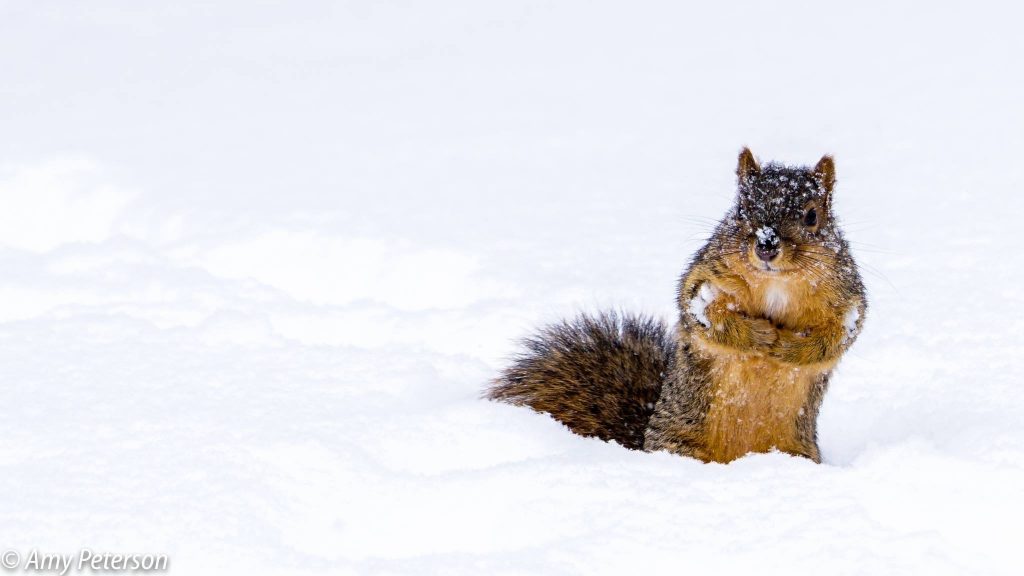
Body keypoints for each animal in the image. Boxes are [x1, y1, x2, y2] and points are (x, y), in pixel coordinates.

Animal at [487, 148, 866, 463]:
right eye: (741, 209)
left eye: (812, 216)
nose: (767, 245)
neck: (776, 282)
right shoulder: (704, 282)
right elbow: (709, 318)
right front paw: (760, 334)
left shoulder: (847, 300)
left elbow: (836, 337)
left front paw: (789, 347)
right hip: (680, 442)